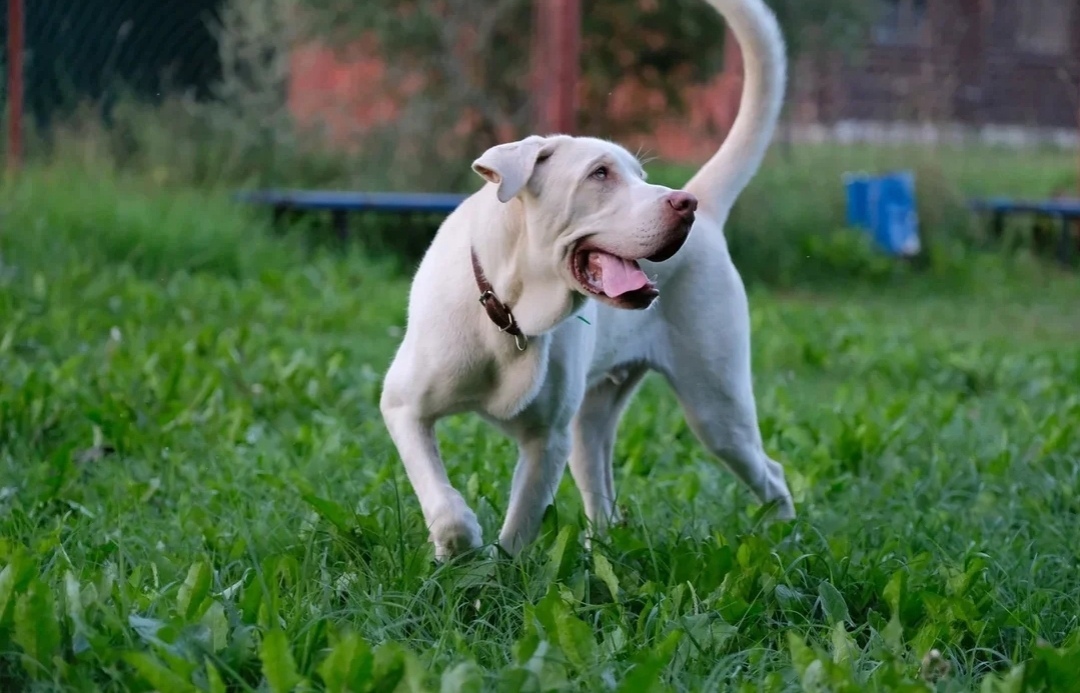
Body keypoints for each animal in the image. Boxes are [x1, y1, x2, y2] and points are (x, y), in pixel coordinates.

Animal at [380, 0, 794, 556]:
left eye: (640, 175)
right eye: (600, 174)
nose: (683, 203)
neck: (512, 311)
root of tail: (709, 215)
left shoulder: (547, 442)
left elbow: (517, 531)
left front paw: (494, 567)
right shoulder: (404, 405)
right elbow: (442, 501)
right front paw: (457, 545)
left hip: (716, 407)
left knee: (770, 472)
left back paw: (788, 539)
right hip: (595, 425)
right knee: (604, 496)